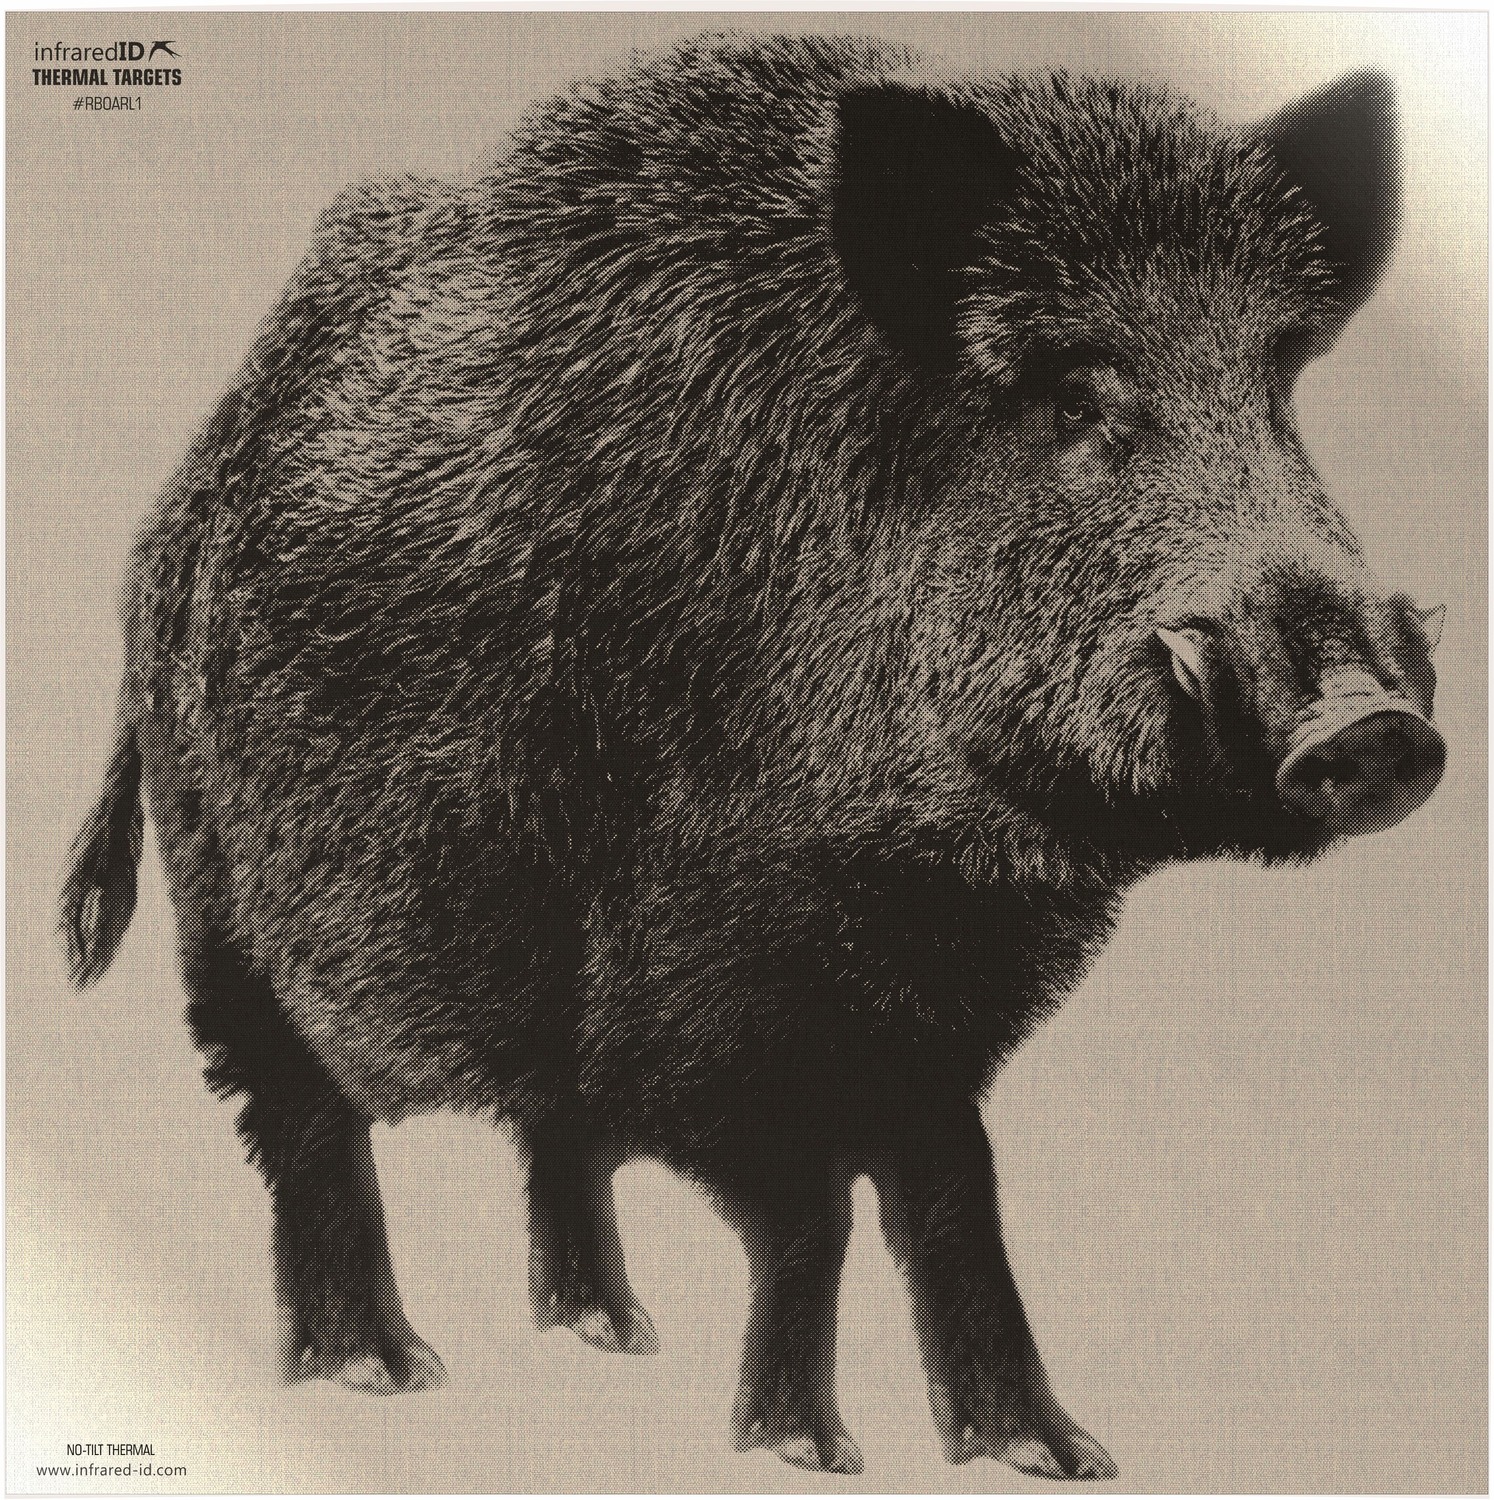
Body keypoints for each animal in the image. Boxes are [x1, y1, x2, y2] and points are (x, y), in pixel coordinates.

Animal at [59, 34, 1445, 1481]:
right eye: (1075, 395)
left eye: (1277, 387)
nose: (1369, 725)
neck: (925, 866)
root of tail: (169, 521)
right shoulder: (715, 988)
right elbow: (811, 1213)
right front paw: (806, 1453)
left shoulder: (931, 1011)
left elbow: (951, 1193)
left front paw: (1053, 1458)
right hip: (221, 889)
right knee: (298, 1120)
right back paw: (382, 1373)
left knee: (548, 1135)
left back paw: (611, 1334)